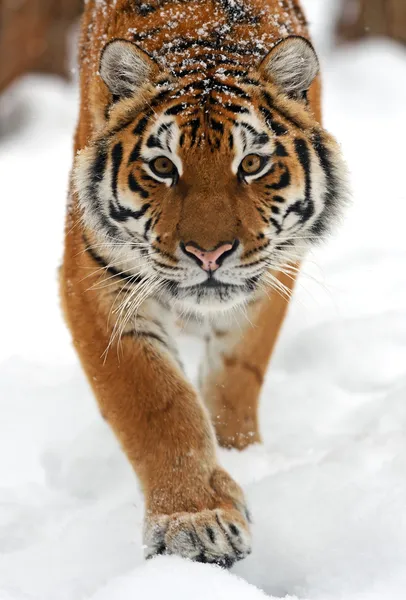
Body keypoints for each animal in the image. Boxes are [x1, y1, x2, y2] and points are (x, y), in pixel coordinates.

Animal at [61, 0, 348, 568]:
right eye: (162, 166)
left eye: (252, 164)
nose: (208, 254)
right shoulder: (95, 279)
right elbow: (156, 401)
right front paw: (194, 522)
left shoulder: (274, 270)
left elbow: (236, 375)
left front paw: (241, 453)